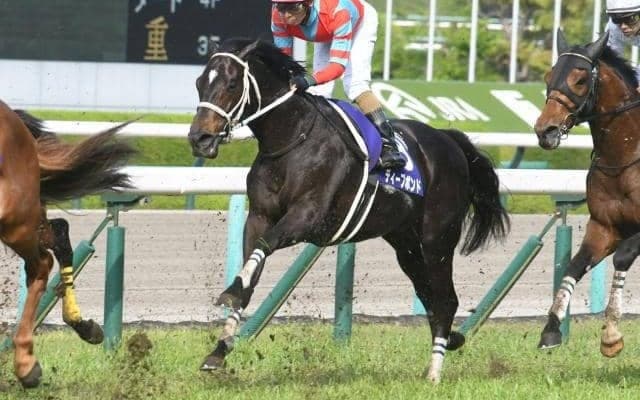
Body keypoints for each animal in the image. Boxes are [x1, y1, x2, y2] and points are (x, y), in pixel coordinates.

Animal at [188, 38, 509, 383]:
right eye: (199, 83)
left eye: (232, 84)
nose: (199, 138)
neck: (291, 140)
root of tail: (448, 139)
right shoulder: (259, 217)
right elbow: (252, 267)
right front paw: (219, 348)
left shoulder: (308, 217)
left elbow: (264, 247)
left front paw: (230, 294)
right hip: (406, 245)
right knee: (431, 299)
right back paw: (451, 341)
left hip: (438, 238)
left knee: (446, 299)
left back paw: (434, 374)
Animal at [534, 29, 640, 356]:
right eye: (549, 75)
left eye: (580, 79)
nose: (545, 130)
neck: (625, 156)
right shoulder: (604, 226)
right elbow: (574, 265)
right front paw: (551, 330)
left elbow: (622, 257)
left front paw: (611, 335)